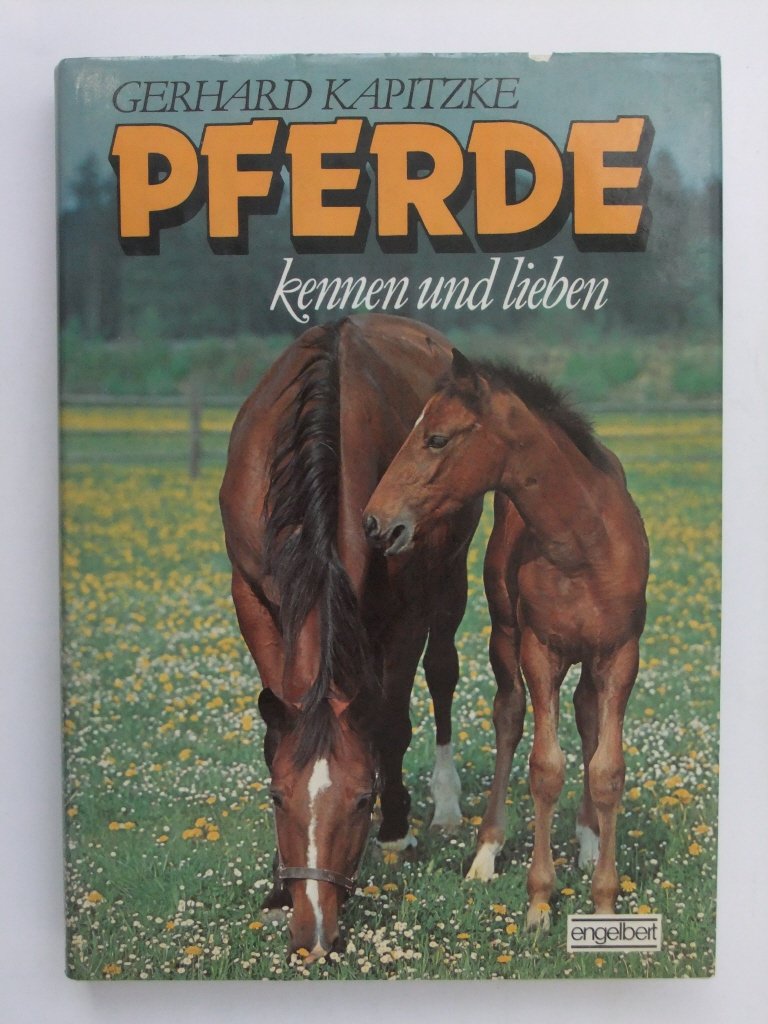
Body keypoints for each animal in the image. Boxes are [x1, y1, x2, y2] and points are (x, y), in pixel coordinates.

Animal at [219, 316, 481, 960]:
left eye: (362, 800)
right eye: (277, 798)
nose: (315, 935)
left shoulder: (409, 606)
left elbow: (390, 720)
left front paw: (395, 829)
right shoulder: (251, 595)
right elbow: (278, 724)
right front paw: (276, 885)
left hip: (451, 578)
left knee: (441, 675)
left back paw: (442, 803)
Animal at [363, 349, 649, 928]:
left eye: (437, 439)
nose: (375, 522)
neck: (584, 544)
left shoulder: (620, 655)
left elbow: (608, 770)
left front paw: (604, 901)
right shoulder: (540, 651)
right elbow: (544, 767)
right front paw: (539, 902)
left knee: (586, 716)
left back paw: (587, 841)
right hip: (506, 635)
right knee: (509, 717)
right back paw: (487, 851)